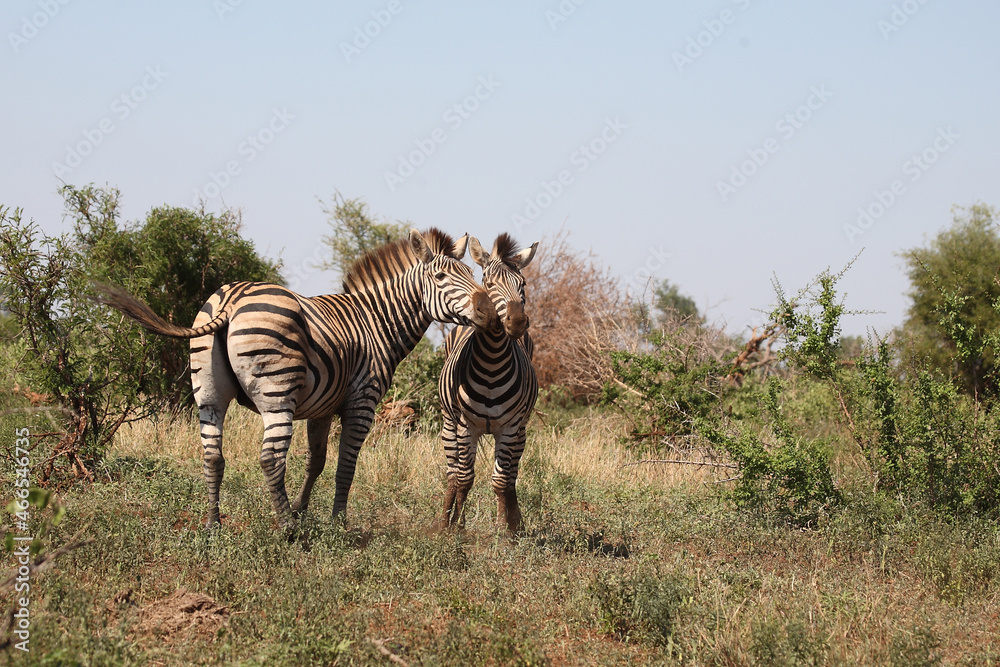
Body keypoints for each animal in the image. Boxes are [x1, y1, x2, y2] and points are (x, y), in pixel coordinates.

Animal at [93, 228, 498, 530]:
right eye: (441, 278)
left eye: (473, 276)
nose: (489, 311)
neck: (376, 322)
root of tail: (231, 298)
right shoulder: (362, 402)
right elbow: (345, 465)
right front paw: (336, 523)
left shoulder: (322, 406)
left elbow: (316, 461)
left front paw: (304, 510)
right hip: (277, 392)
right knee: (270, 458)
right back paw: (286, 528)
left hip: (208, 393)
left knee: (212, 455)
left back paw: (214, 524)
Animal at [438, 233, 539, 534]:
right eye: (490, 284)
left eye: (523, 284)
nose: (516, 322)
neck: (493, 363)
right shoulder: (465, 427)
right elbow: (464, 478)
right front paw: (457, 527)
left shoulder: (510, 427)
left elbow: (501, 481)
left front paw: (505, 530)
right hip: (448, 425)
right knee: (452, 474)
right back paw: (442, 521)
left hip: (520, 431)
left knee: (511, 475)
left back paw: (514, 522)